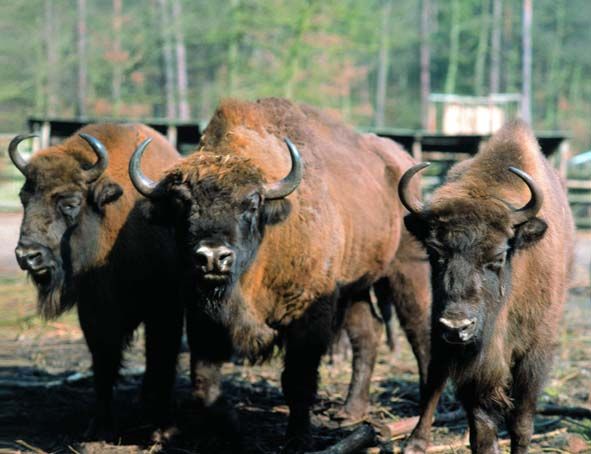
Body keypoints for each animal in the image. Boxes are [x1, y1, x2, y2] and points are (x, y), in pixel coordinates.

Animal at [10, 123, 184, 440]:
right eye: (24, 198)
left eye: (70, 203)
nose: (27, 255)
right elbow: (104, 361)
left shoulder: (165, 309)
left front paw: (162, 426)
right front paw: (99, 426)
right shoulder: (95, 311)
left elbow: (162, 358)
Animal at [128, 97, 430, 448]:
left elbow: (298, 381)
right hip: (355, 286)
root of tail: (402, 160)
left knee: (418, 331)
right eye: (181, 203)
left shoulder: (308, 315)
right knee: (367, 333)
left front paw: (297, 439)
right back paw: (349, 413)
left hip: (407, 269)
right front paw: (225, 431)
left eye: (251, 203)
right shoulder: (203, 316)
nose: (213, 257)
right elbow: (205, 381)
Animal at [400, 121, 576, 454]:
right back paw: (415, 442)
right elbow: (481, 429)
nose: (457, 325)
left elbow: (521, 423)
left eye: (498, 256)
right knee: (434, 380)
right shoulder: (472, 364)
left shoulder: (535, 353)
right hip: (440, 338)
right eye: (435, 252)